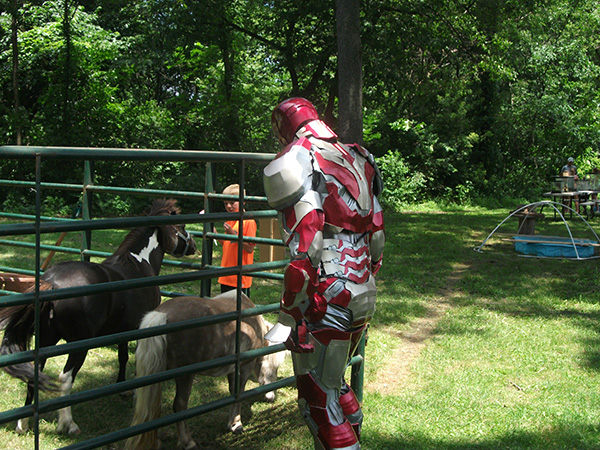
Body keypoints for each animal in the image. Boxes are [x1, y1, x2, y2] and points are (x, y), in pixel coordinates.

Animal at [0, 199, 196, 434]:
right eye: (182, 226)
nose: (194, 246)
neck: (140, 263)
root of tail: (52, 282)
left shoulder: (123, 329)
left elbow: (123, 356)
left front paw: (122, 387)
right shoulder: (138, 328)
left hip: (46, 340)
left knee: (33, 375)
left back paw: (23, 424)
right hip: (78, 345)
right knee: (65, 378)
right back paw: (68, 424)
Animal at [125, 290, 286, 450]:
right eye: (275, 366)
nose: (271, 397)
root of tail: (161, 315)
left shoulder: (233, 368)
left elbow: (232, 392)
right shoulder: (245, 365)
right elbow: (239, 392)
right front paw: (236, 425)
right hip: (185, 376)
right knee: (179, 405)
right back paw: (187, 442)